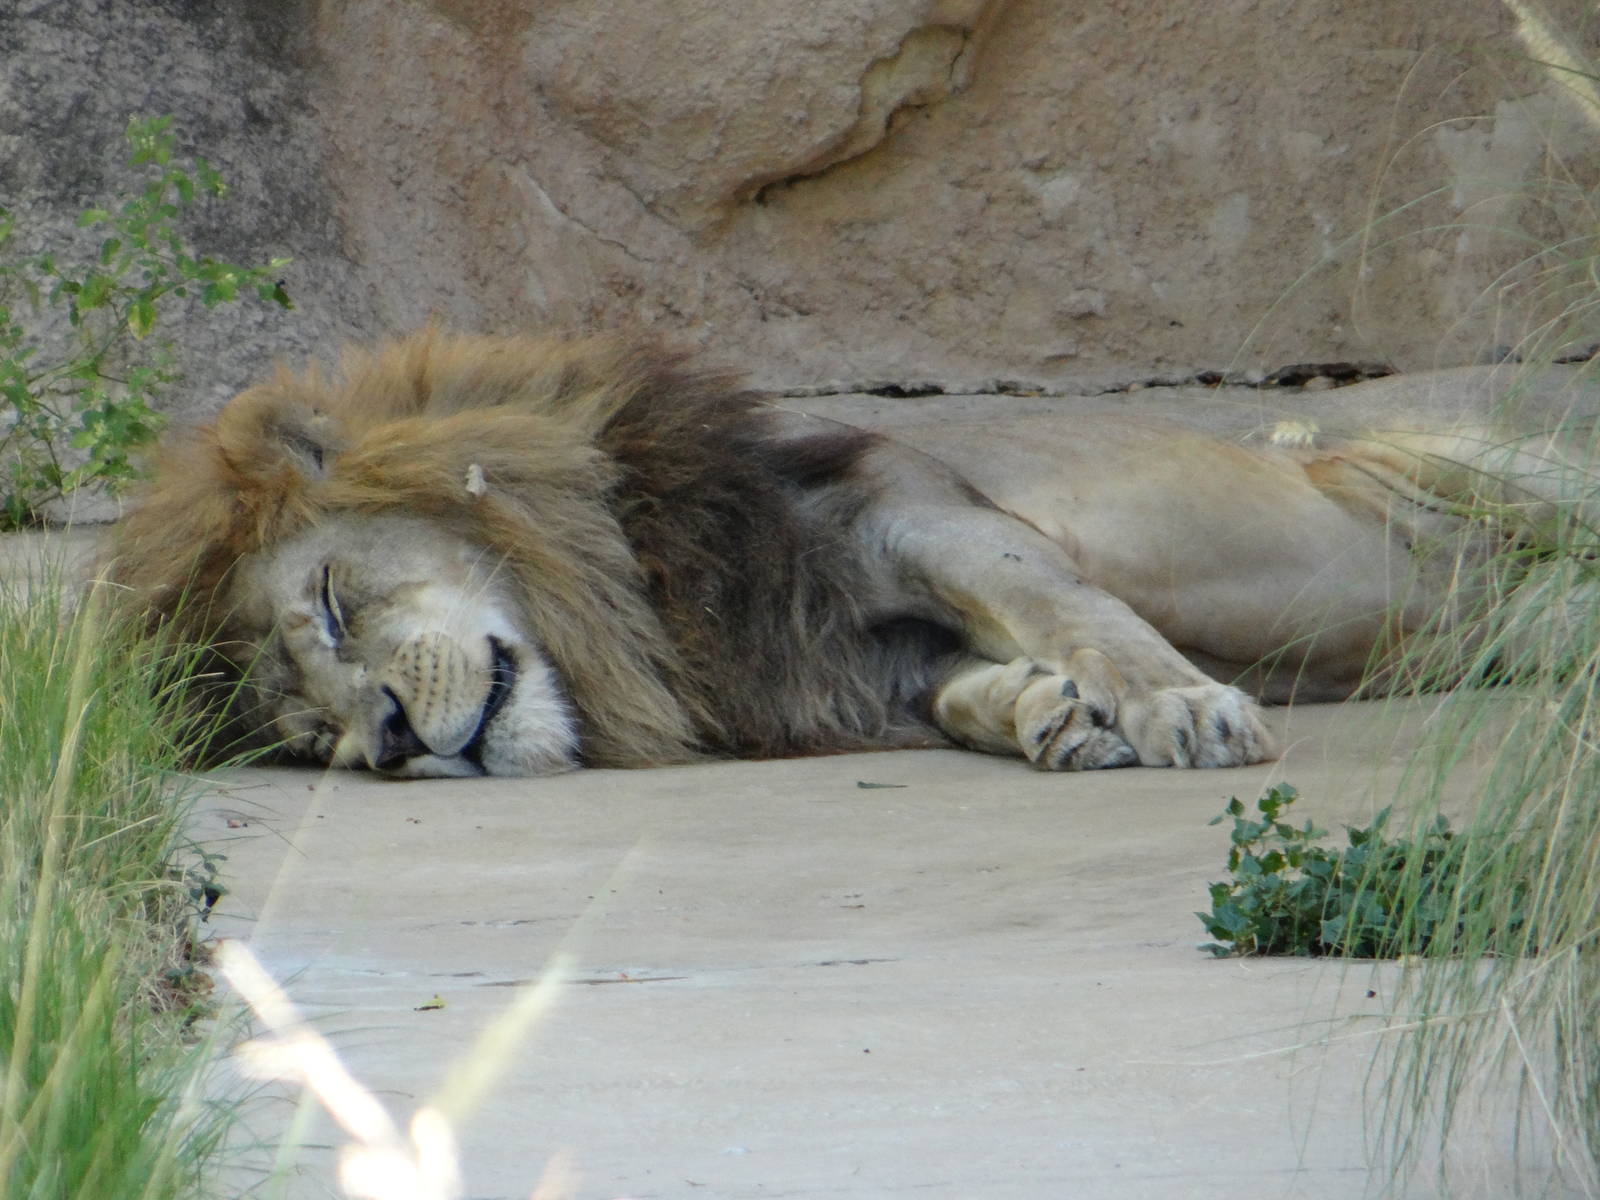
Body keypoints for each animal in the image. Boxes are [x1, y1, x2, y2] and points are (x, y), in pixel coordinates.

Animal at [104, 329, 1597, 778]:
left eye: (334, 604)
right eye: (309, 736)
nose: (395, 742)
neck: (638, 593)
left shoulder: (910, 512)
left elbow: (1074, 607)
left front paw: (1177, 704)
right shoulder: (858, 656)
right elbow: (970, 684)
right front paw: (1050, 718)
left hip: (1480, 455)